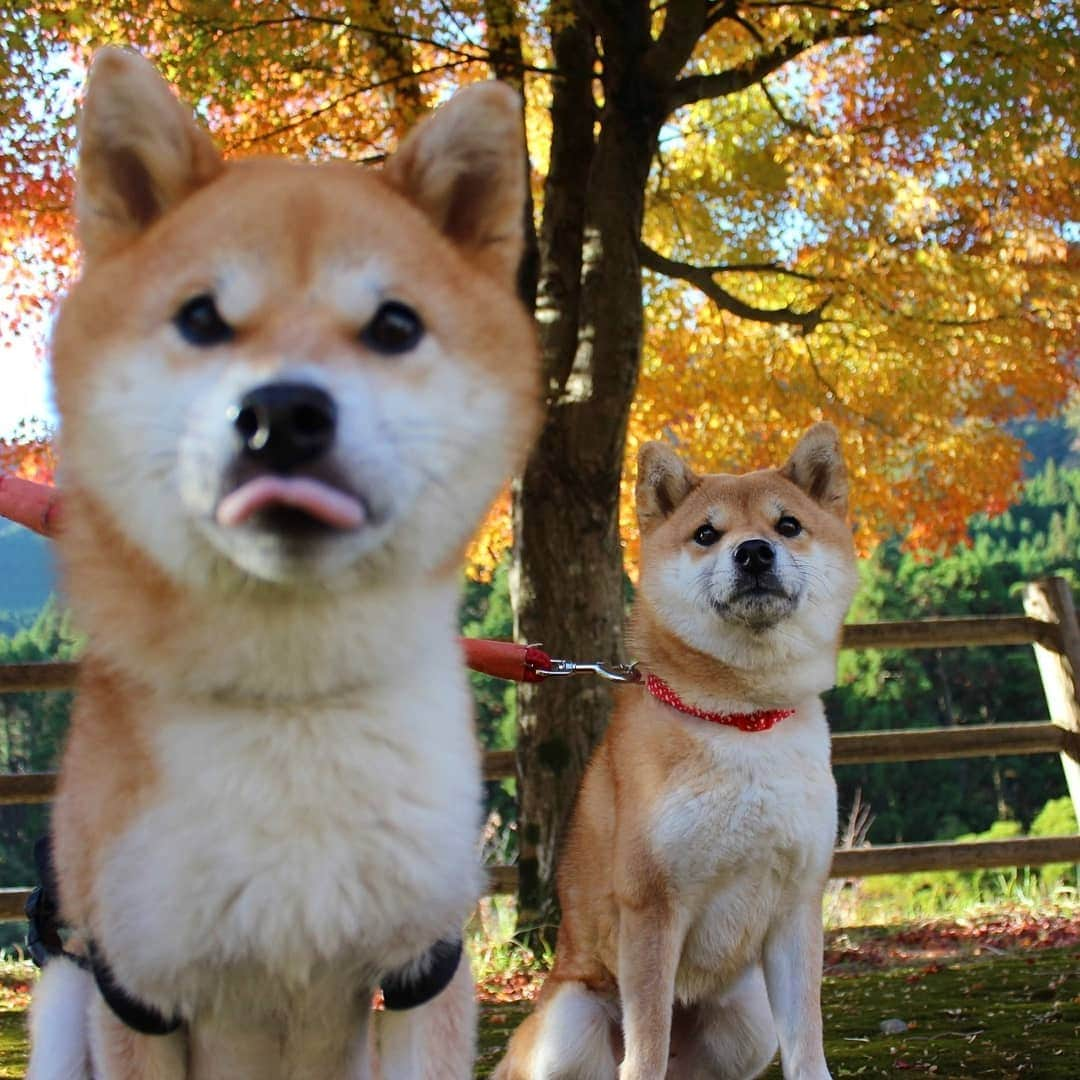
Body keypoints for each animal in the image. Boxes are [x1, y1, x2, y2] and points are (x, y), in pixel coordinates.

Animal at [28, 46, 540, 1080]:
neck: (293, 703)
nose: (282, 414)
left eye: (394, 326)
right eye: (199, 318)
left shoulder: (422, 964)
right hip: (63, 1001)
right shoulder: (134, 988)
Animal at [496, 425, 859, 1075]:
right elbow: (644, 1053)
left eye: (788, 524)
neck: (741, 720)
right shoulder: (651, 908)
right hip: (571, 1022)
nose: (753, 552)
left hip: (747, 1020)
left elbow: (806, 1043)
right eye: (706, 534)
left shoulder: (797, 905)